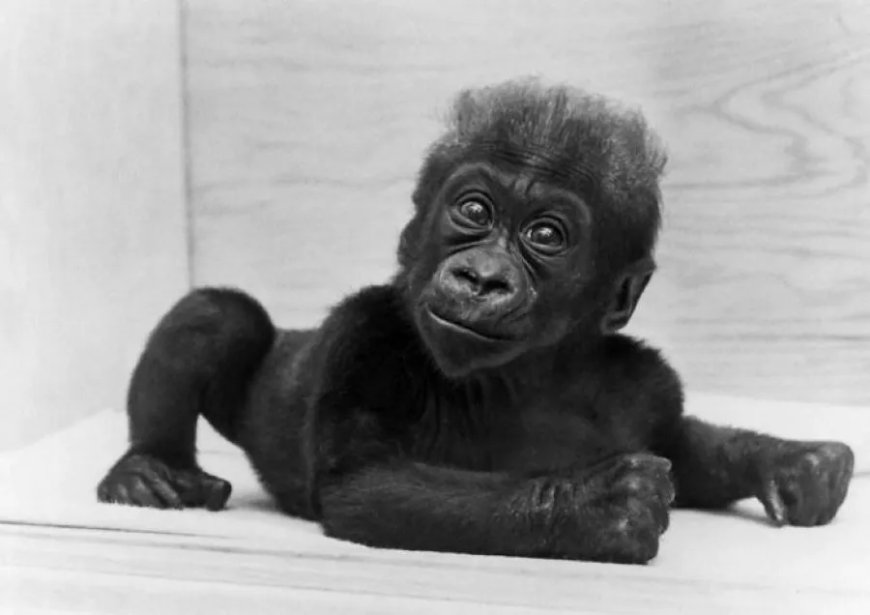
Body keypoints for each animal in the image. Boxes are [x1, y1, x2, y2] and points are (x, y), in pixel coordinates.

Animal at [97, 79, 854, 564]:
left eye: (547, 235)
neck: (529, 373)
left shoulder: (642, 384)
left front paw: (790, 461)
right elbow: (365, 483)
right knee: (218, 318)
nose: (482, 277)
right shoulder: (367, 341)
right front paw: (595, 507)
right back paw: (148, 467)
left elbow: (681, 445)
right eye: (473, 211)